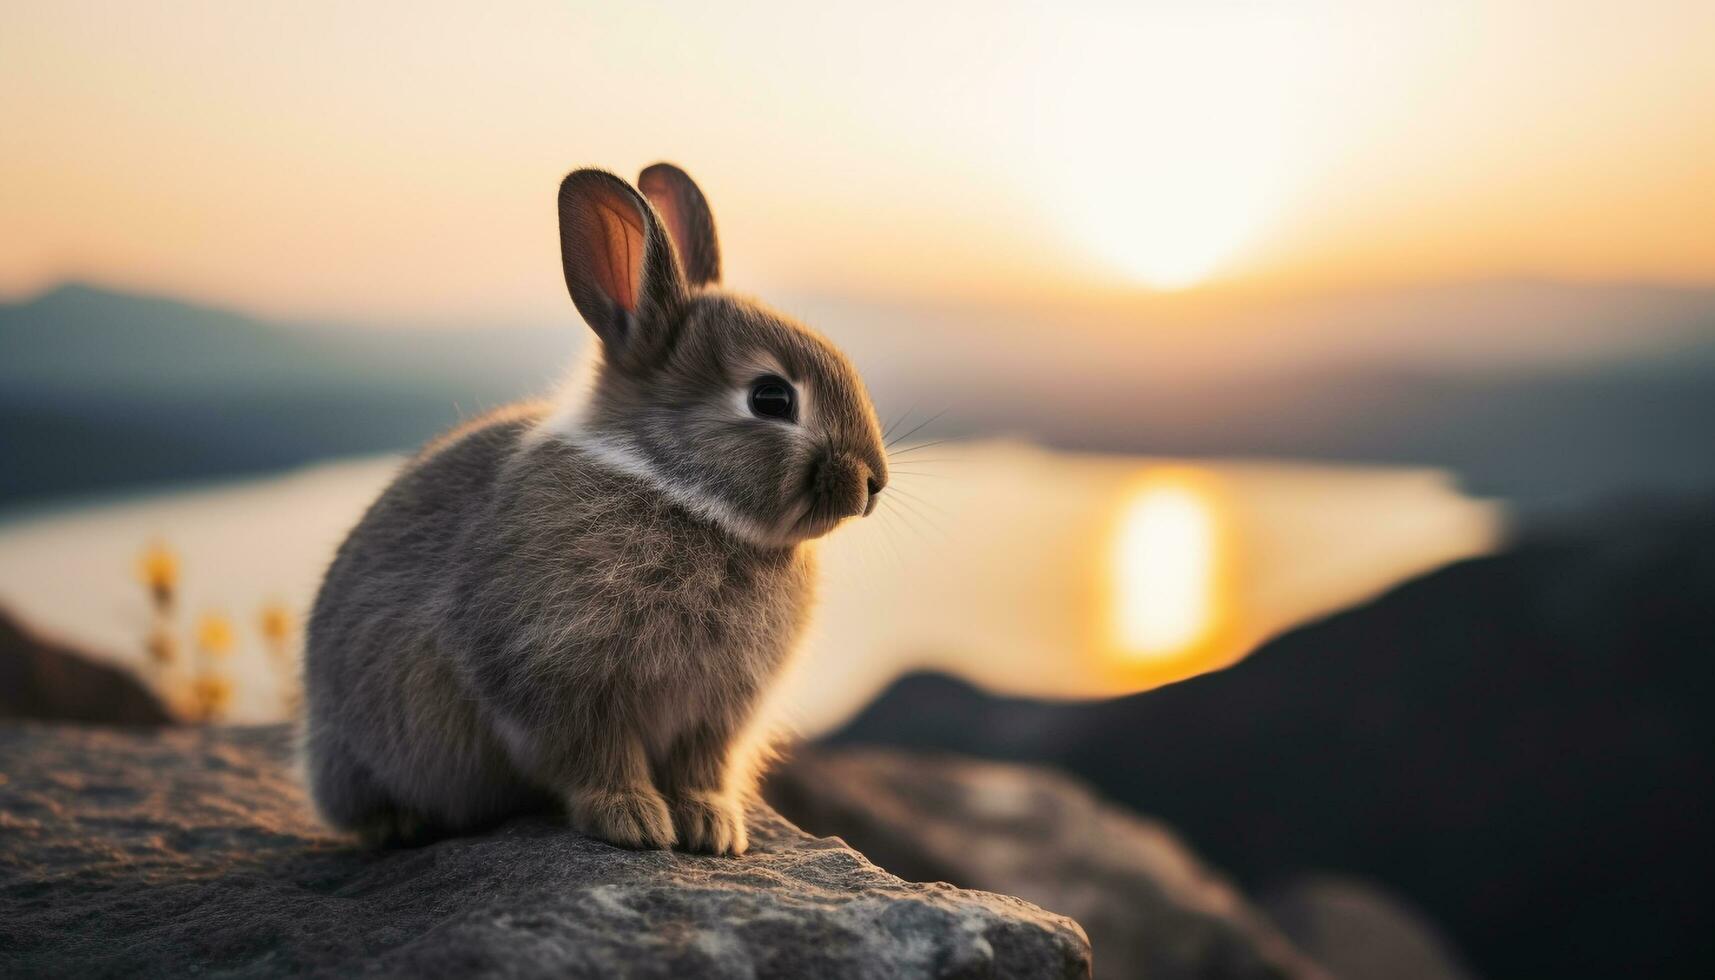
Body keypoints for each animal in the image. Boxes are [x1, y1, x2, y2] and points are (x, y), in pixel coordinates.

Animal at [301, 164, 884, 854]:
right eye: (771, 398)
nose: (872, 483)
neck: (679, 490)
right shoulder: (562, 681)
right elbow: (596, 758)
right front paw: (635, 822)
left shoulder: (718, 713)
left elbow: (701, 768)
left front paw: (713, 829)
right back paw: (399, 824)